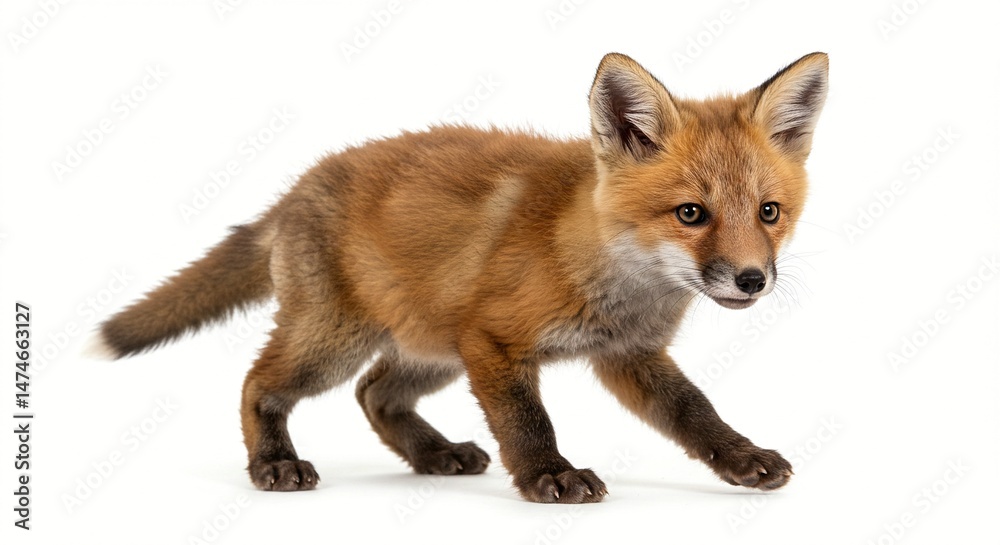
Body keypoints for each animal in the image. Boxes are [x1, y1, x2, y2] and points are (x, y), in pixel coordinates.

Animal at [91, 51, 828, 503]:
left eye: (768, 212)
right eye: (691, 213)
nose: (752, 279)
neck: (597, 266)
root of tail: (297, 186)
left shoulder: (629, 354)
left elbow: (696, 413)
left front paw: (741, 458)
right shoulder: (494, 342)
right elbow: (528, 421)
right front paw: (549, 475)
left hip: (431, 349)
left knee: (374, 394)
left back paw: (433, 454)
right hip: (337, 341)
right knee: (259, 383)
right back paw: (273, 462)